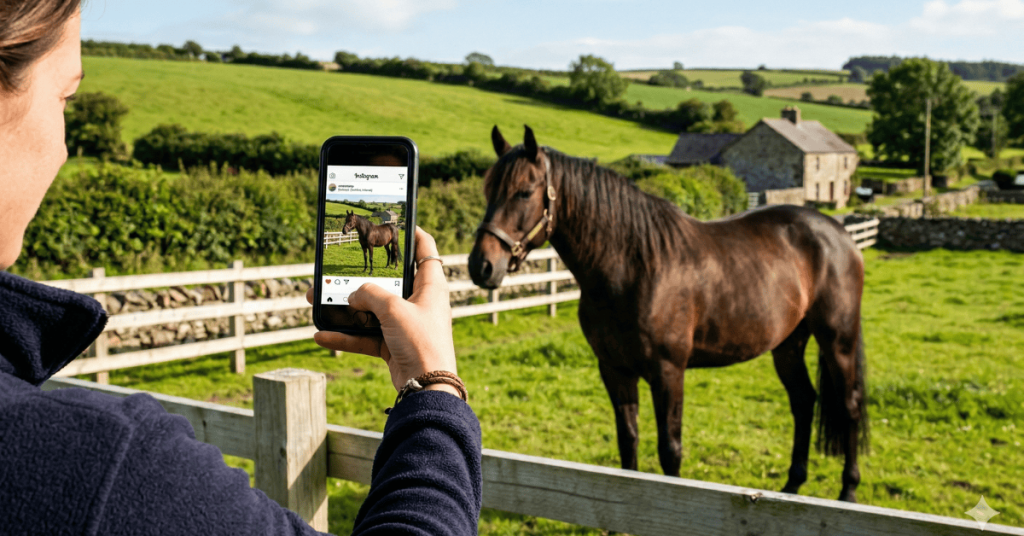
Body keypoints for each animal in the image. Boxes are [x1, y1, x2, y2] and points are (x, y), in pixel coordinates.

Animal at [468, 126, 868, 502]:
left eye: (524, 192)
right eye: (488, 190)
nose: (481, 265)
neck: (632, 267)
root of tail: (840, 234)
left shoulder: (668, 372)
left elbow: (669, 450)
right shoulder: (615, 370)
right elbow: (627, 441)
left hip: (838, 340)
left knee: (849, 406)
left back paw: (848, 491)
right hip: (788, 344)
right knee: (803, 401)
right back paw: (792, 485)